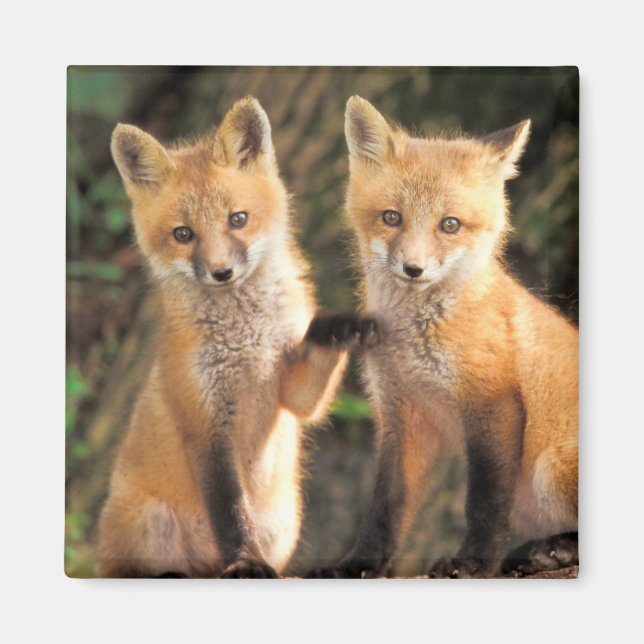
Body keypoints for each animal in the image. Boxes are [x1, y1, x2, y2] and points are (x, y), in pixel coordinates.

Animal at [97, 97, 377, 578]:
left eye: (238, 219)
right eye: (183, 234)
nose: (221, 272)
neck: (247, 341)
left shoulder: (292, 391)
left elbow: (313, 372)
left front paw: (342, 326)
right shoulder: (205, 424)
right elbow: (229, 512)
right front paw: (245, 561)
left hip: (284, 523)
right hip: (150, 523)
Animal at [308, 96, 578, 578]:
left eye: (450, 225)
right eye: (391, 218)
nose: (413, 269)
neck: (414, 345)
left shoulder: (493, 402)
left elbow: (484, 504)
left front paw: (472, 562)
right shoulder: (401, 414)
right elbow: (385, 506)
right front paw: (357, 564)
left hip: (551, 467)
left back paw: (556, 550)